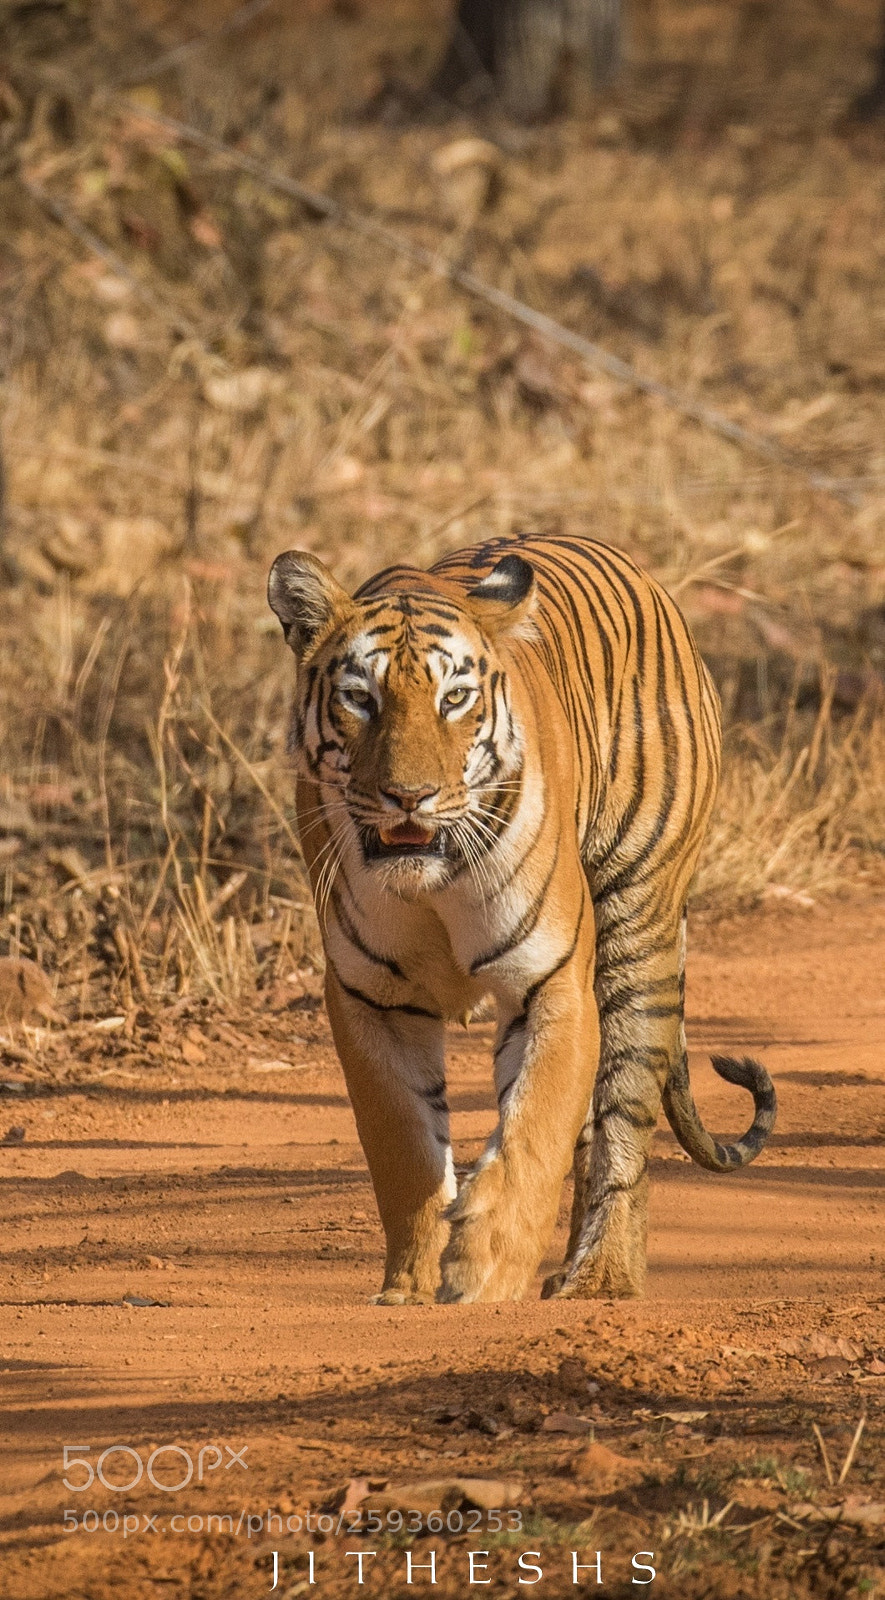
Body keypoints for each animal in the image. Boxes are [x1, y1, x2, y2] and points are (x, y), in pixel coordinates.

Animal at [268, 533, 776, 1305]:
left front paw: (484, 1268)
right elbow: (403, 1147)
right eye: (360, 698)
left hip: (637, 927)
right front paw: (412, 1284)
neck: (432, 882)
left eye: (454, 699)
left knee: (621, 1118)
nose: (408, 796)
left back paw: (600, 1276)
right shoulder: (370, 998)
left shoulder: (553, 982)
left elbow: (534, 1129)